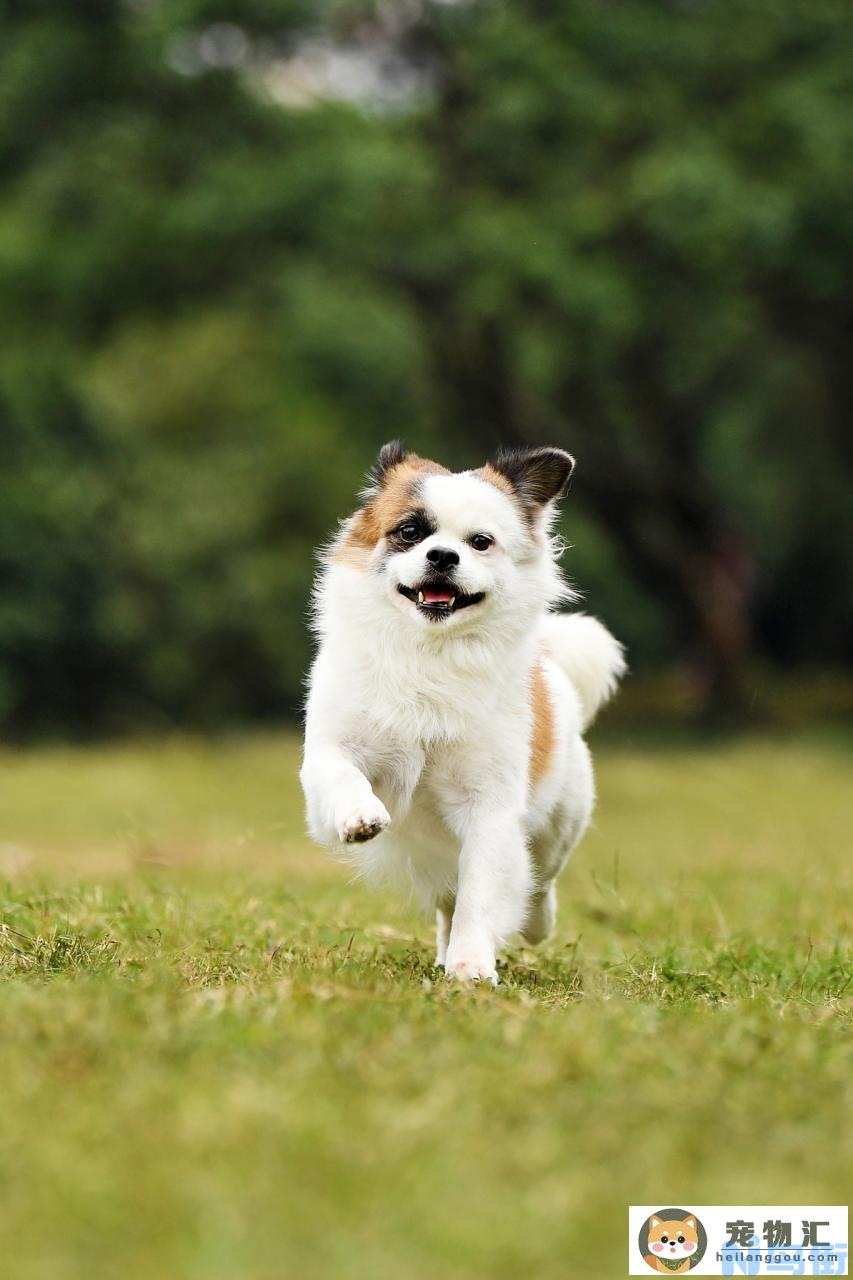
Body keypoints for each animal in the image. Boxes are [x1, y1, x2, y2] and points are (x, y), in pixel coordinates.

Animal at [300, 445, 625, 983]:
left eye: (480, 543)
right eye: (410, 531)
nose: (443, 555)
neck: (429, 651)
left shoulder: (489, 807)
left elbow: (482, 892)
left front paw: (472, 965)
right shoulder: (330, 752)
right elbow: (343, 774)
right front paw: (361, 814)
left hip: (560, 825)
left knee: (538, 881)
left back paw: (532, 924)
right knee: (447, 901)